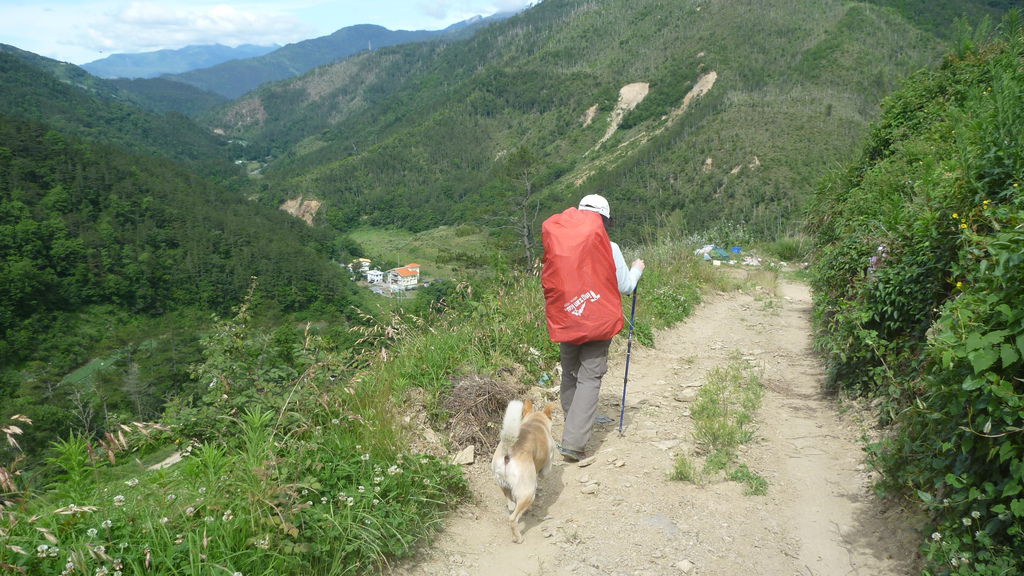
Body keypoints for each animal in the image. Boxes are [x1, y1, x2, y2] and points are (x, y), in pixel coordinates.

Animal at [491, 397, 557, 541]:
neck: (536, 421)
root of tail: (508, 451)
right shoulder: (547, 465)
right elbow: (542, 473)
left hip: (503, 485)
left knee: (511, 504)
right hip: (528, 493)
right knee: (513, 518)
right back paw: (518, 538)